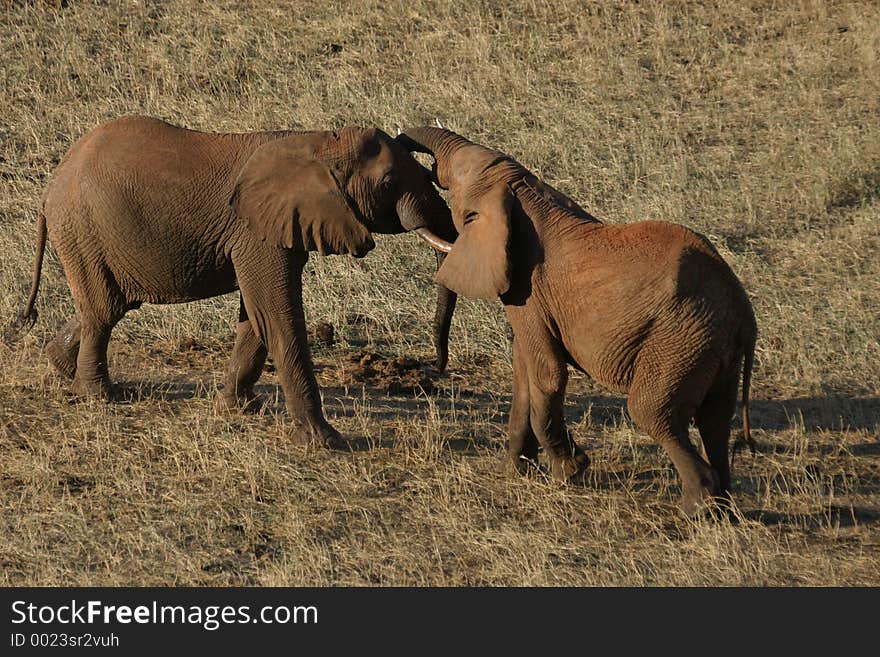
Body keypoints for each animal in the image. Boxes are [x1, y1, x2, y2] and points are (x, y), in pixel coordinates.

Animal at [10, 115, 458, 448]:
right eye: (388, 183)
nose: (435, 366)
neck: (317, 143)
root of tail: (51, 187)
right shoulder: (255, 231)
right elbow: (277, 315)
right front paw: (326, 441)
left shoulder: (275, 228)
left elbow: (256, 317)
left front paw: (238, 408)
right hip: (84, 226)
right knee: (103, 312)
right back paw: (100, 396)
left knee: (109, 304)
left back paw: (63, 367)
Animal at [406, 128, 756, 516]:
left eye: (455, 176)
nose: (434, 367)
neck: (521, 190)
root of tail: (743, 311)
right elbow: (524, 372)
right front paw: (515, 472)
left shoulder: (529, 290)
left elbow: (547, 373)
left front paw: (569, 473)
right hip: (713, 347)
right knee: (715, 419)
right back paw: (725, 509)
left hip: (680, 339)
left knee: (653, 411)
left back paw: (696, 510)